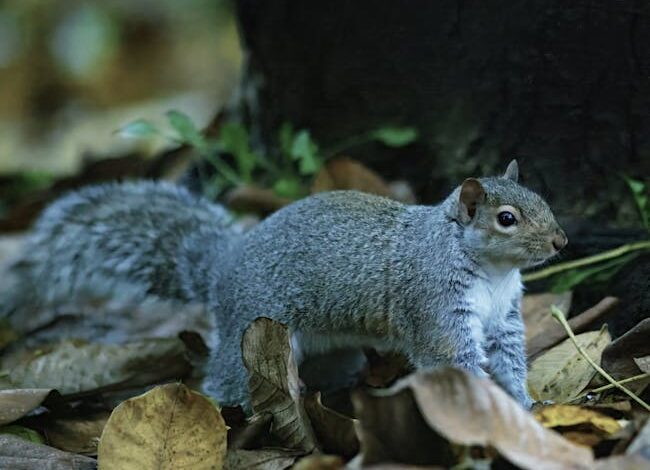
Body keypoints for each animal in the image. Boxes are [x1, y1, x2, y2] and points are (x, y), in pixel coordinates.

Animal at [1, 160, 566, 409]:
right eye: (508, 219)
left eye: (543, 197)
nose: (561, 241)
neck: (491, 272)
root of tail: (222, 271)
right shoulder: (436, 306)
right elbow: (456, 359)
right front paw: (491, 408)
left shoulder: (505, 318)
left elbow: (510, 359)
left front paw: (522, 402)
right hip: (251, 329)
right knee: (223, 377)